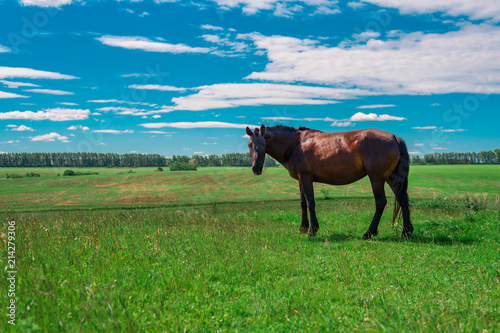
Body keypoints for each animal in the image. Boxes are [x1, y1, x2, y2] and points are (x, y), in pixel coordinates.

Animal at [246, 124, 414, 239]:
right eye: (250, 145)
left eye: (263, 144)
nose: (256, 168)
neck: (296, 143)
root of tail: (395, 137)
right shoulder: (300, 180)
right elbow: (302, 203)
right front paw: (302, 227)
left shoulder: (306, 178)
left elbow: (310, 203)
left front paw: (312, 230)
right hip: (392, 177)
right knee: (403, 200)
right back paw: (406, 232)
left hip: (377, 178)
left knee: (380, 202)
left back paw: (368, 233)